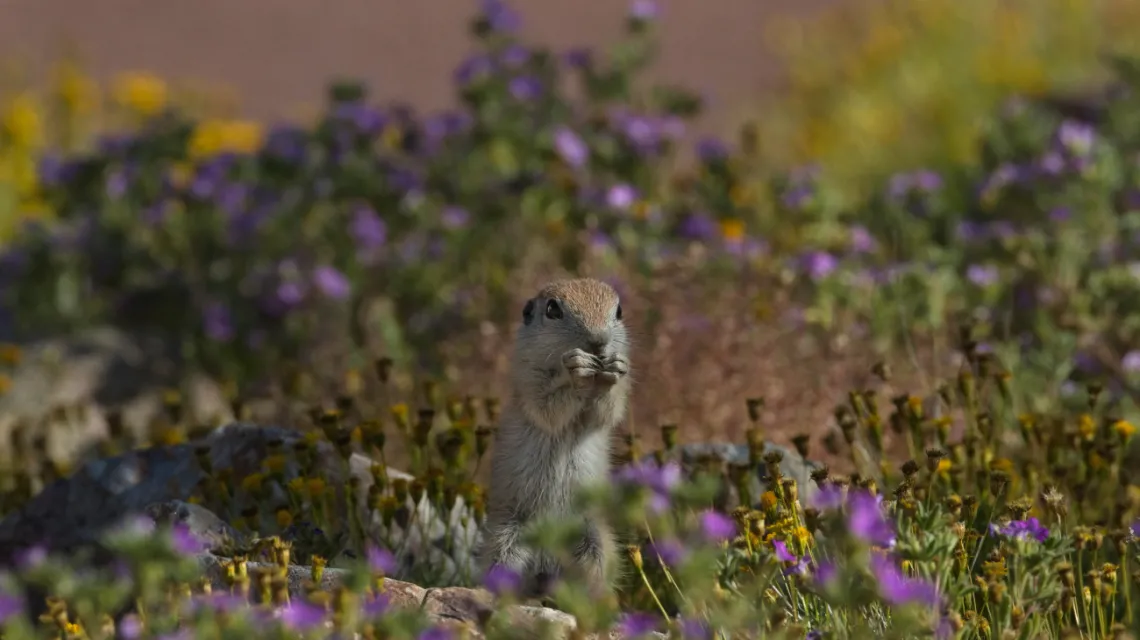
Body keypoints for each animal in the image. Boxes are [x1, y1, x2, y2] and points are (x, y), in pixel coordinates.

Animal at [474, 277, 633, 597]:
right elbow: (549, 405)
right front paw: (578, 371)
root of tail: (547, 558)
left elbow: (607, 410)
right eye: (552, 310)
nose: (599, 341)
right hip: (505, 540)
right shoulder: (529, 381)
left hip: (595, 542)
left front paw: (613, 369)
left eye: (619, 311)